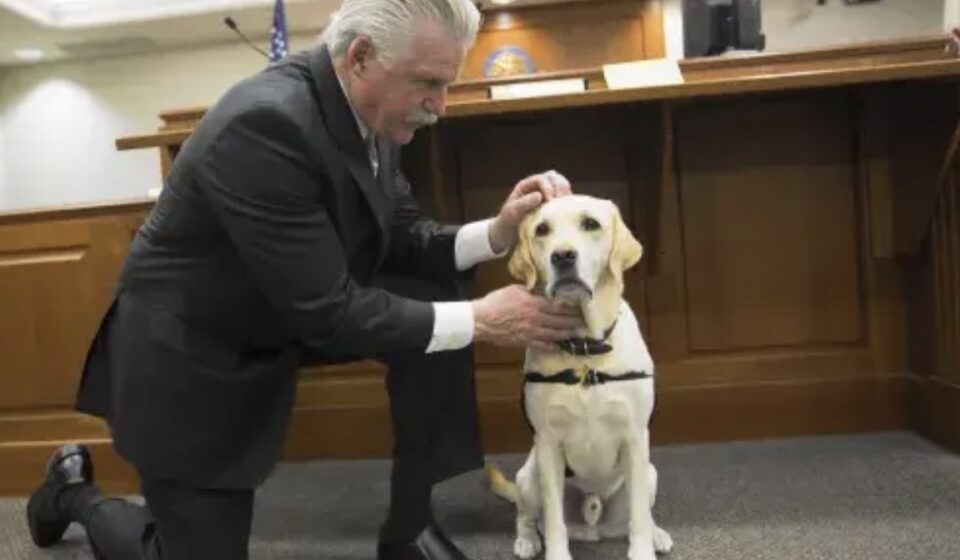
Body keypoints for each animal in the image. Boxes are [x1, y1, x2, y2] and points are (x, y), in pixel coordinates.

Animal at [484, 194, 672, 560]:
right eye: (542, 229)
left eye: (590, 224)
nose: (562, 256)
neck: (585, 350)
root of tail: (593, 526)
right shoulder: (548, 444)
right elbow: (554, 519)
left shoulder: (635, 438)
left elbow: (639, 516)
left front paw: (643, 549)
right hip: (528, 474)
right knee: (527, 515)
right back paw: (527, 540)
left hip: (651, 472)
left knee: (640, 513)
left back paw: (657, 533)